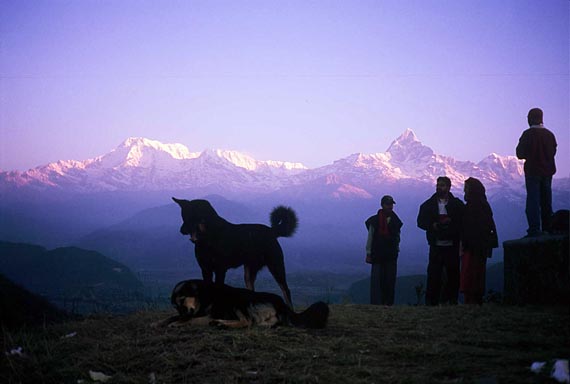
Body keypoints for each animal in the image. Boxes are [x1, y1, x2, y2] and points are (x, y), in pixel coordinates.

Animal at [154, 280, 328, 330]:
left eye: (182, 299)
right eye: (175, 305)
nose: (182, 312)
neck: (203, 296)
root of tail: (281, 303)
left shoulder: (205, 314)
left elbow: (188, 320)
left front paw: (176, 323)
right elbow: (172, 317)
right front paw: (159, 322)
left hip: (238, 301)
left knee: (246, 322)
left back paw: (221, 323)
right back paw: (219, 323)